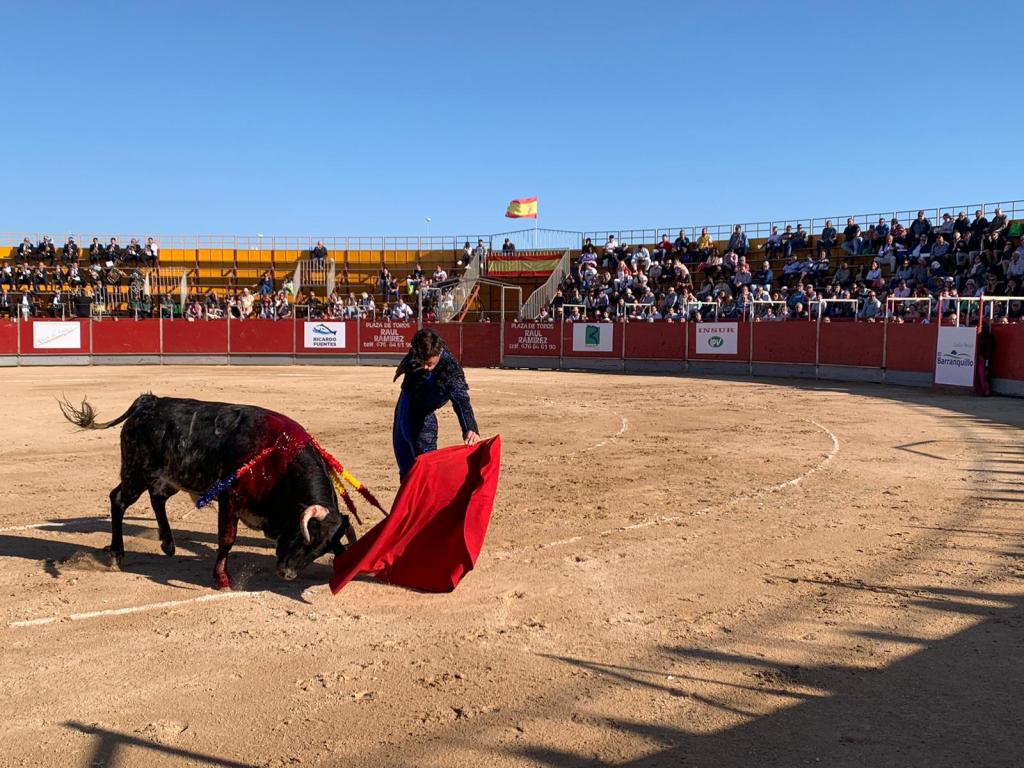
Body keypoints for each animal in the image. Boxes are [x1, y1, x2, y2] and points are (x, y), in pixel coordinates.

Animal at [60, 394, 358, 589]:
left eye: (320, 551)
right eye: (305, 537)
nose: (288, 574)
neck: (280, 458)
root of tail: (148, 402)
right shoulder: (230, 498)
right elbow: (227, 538)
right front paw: (222, 579)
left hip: (172, 477)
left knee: (157, 498)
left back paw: (168, 544)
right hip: (137, 472)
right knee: (119, 500)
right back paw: (117, 553)